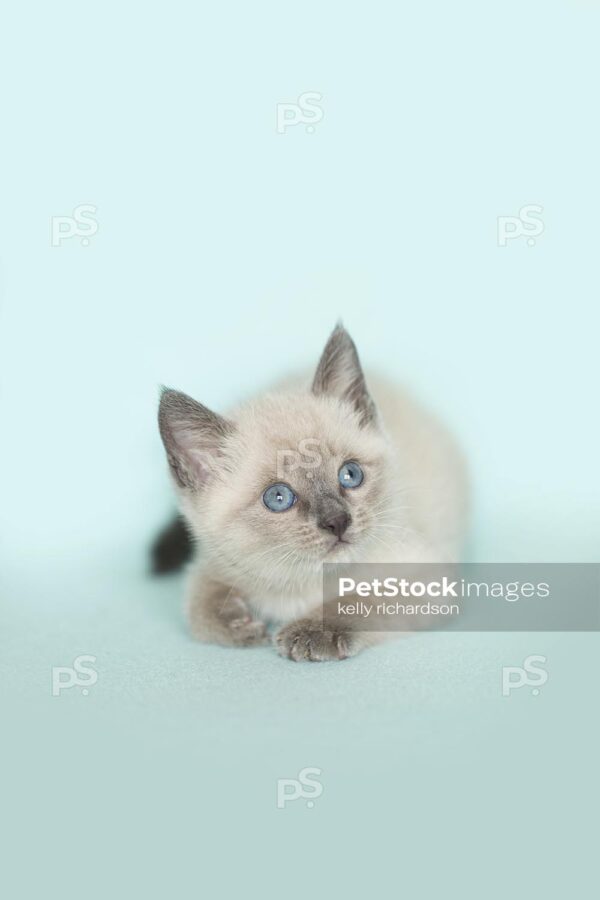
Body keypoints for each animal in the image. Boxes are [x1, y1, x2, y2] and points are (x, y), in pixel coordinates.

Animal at [157, 326, 466, 660]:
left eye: (350, 474)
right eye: (278, 497)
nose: (337, 521)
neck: (303, 585)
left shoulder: (427, 574)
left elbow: (359, 600)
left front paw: (311, 631)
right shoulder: (211, 562)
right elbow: (201, 607)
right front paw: (240, 625)